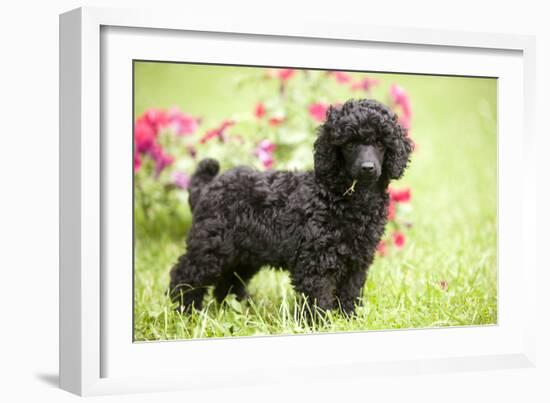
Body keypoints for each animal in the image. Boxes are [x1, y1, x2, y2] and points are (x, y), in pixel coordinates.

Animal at [168, 98, 414, 316]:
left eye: (380, 144)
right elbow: (318, 297)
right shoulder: (315, 261)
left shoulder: (358, 259)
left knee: (228, 282)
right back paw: (185, 311)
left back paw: (237, 309)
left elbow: (350, 292)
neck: (344, 196)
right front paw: (319, 323)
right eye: (350, 144)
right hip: (211, 246)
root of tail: (208, 186)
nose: (367, 168)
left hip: (244, 253)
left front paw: (349, 318)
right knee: (185, 274)